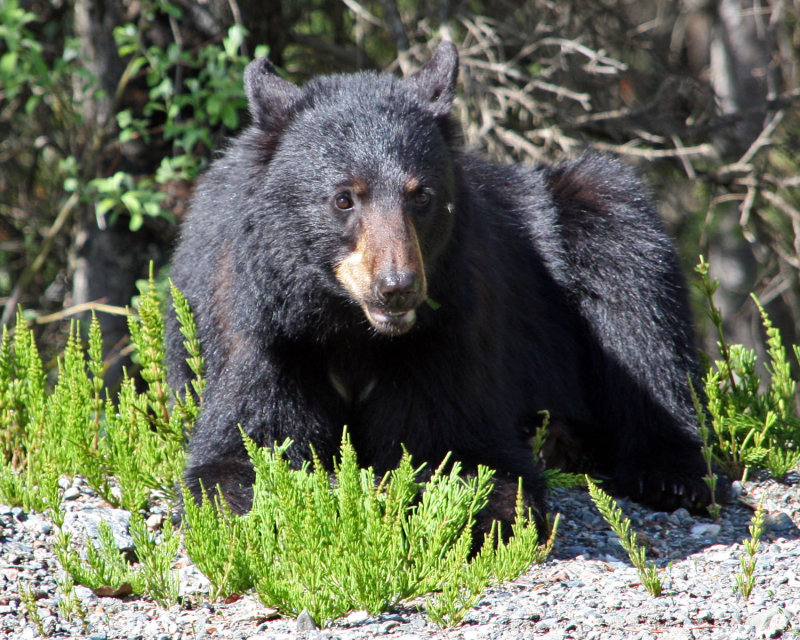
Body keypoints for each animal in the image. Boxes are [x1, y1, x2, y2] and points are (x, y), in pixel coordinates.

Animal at [166, 40, 720, 536]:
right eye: (344, 198)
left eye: (422, 195)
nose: (397, 287)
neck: (352, 330)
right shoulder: (264, 331)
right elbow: (245, 445)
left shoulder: (449, 328)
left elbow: (465, 445)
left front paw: (468, 514)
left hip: (599, 207)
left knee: (641, 312)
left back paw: (666, 474)